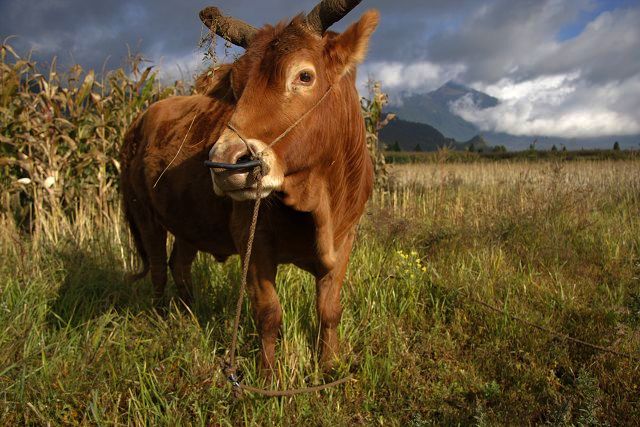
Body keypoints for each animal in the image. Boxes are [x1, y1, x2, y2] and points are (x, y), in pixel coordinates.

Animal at [119, 1, 378, 372]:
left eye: (304, 76)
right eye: (236, 87)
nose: (224, 163)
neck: (320, 200)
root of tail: (141, 120)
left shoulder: (345, 238)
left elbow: (329, 310)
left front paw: (330, 365)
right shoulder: (252, 242)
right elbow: (268, 315)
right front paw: (268, 376)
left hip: (189, 223)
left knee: (179, 265)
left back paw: (189, 315)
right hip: (145, 216)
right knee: (157, 270)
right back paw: (161, 318)